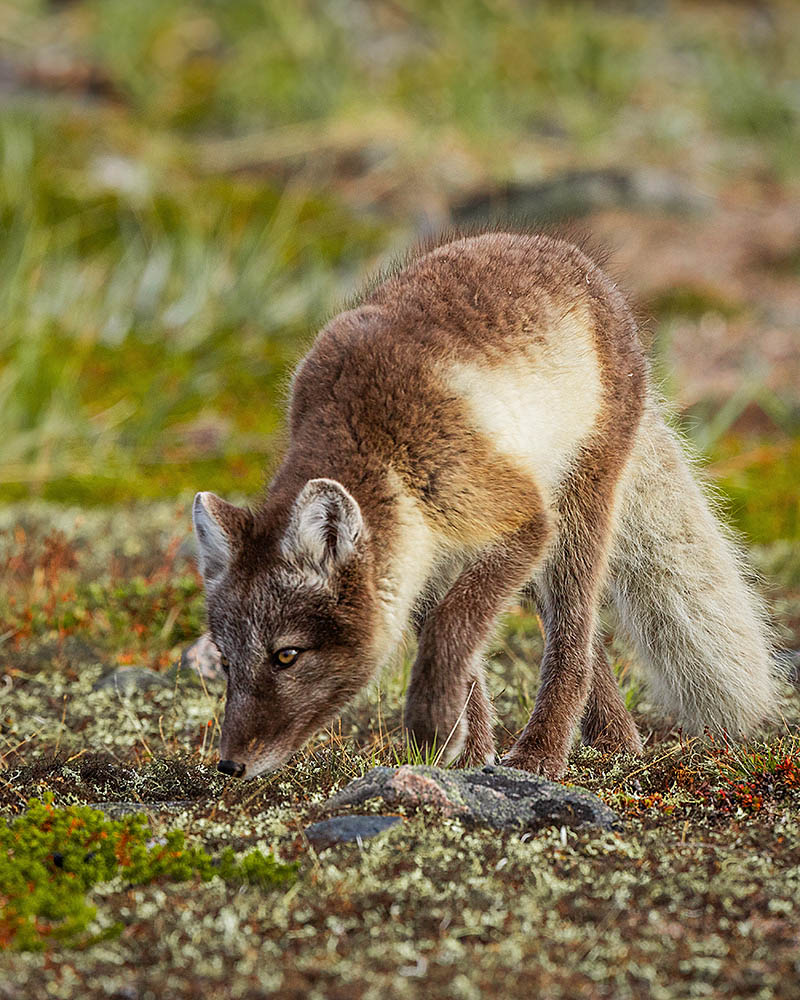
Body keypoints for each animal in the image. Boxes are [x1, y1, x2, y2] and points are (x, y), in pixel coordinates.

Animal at [191, 232, 780, 780]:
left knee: (574, 636)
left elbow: (451, 630)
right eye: (225, 662)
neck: (374, 446)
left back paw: (544, 751)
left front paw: (434, 724)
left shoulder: (521, 519)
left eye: (286, 655)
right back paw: (613, 740)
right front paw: (466, 756)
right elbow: (457, 651)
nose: (229, 766)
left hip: (574, 514)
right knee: (586, 642)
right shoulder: (425, 564)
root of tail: (568, 255)